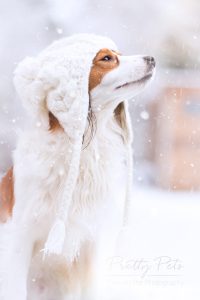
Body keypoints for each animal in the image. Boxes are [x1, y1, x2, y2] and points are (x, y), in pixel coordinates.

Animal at [0, 34, 155, 298]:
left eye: (119, 54)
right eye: (107, 58)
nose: (152, 58)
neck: (82, 148)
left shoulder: (90, 239)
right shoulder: (21, 236)